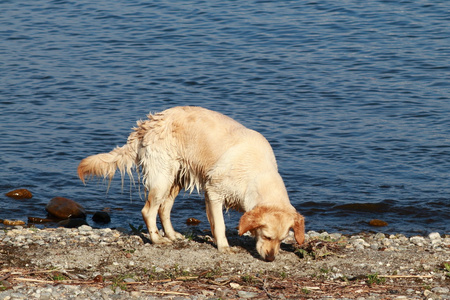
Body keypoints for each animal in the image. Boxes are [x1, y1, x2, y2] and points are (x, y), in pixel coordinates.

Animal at [79, 106, 306, 260]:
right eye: (266, 236)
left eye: (281, 240)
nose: (270, 258)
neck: (257, 173)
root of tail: (148, 123)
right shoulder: (214, 192)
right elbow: (220, 224)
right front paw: (224, 247)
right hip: (162, 178)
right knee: (148, 211)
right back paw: (157, 239)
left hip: (176, 179)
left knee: (164, 209)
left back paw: (172, 235)